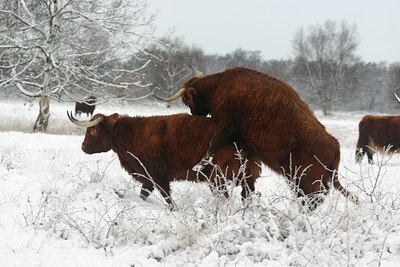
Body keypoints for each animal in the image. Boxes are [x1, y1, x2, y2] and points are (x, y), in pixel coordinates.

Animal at [66, 111, 260, 207]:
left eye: (92, 130)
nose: (83, 147)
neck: (131, 135)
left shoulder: (157, 177)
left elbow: (168, 200)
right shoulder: (148, 179)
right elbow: (143, 194)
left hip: (217, 179)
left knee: (225, 198)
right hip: (246, 179)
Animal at [154, 66, 360, 210]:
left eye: (186, 100)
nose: (194, 114)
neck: (221, 85)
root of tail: (334, 144)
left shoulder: (226, 123)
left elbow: (213, 144)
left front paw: (201, 163)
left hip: (306, 182)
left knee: (313, 200)